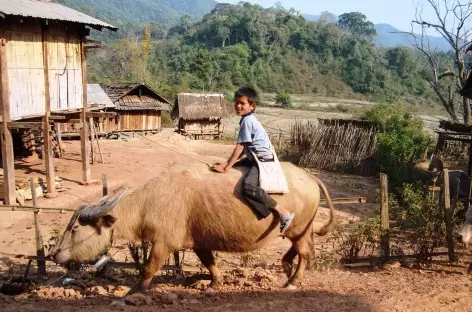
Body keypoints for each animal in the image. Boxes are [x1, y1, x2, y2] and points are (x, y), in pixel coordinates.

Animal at [48, 163, 334, 292]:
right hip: (302, 229)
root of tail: (308, 176)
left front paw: (135, 290)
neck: (150, 201)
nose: (53, 254)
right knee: (301, 249)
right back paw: (286, 268)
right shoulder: (199, 243)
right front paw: (214, 284)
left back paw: (292, 281)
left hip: (298, 229)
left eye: (75, 228)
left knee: (304, 252)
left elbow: (149, 267)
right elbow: (210, 263)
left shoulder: (163, 244)